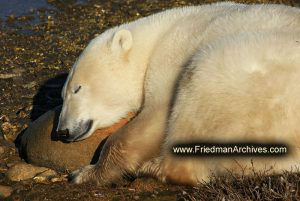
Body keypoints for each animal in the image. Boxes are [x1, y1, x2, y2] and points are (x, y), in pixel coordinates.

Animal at [55, 1, 300, 185]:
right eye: (63, 95)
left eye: (77, 88)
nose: (62, 131)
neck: (155, 38)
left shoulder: (171, 57)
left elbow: (154, 118)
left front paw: (86, 173)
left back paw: (151, 168)